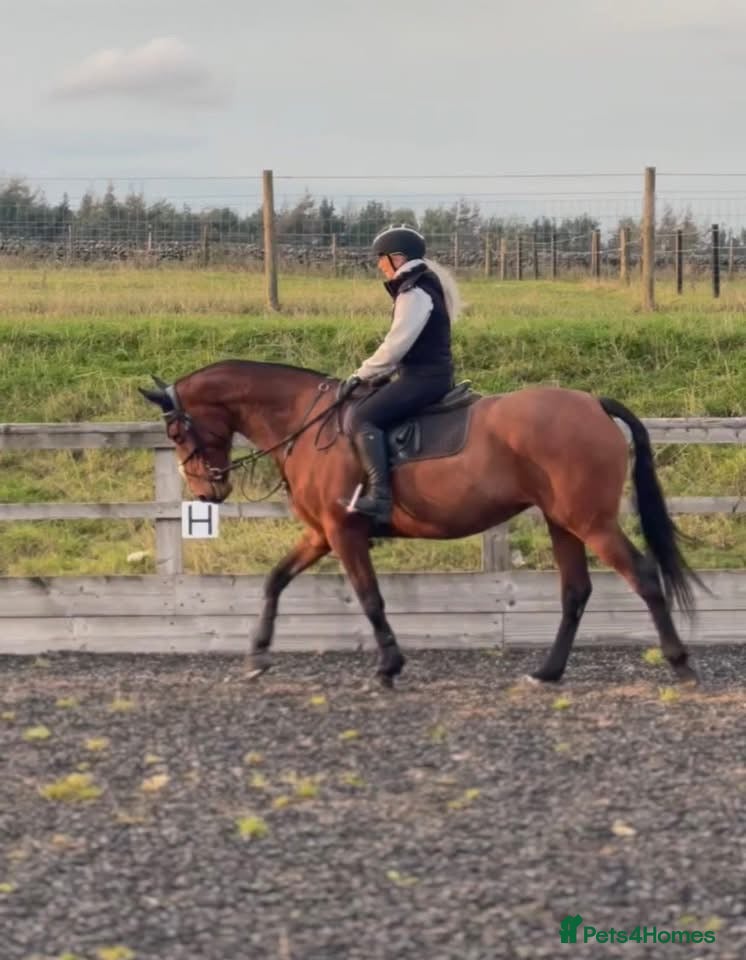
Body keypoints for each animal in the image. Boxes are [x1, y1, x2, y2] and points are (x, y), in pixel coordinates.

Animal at [140, 360, 702, 688]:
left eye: (176, 431)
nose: (207, 492)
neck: (305, 420)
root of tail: (591, 403)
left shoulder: (343, 532)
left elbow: (370, 598)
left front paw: (388, 666)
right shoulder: (321, 533)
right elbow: (275, 580)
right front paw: (257, 655)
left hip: (592, 522)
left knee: (644, 577)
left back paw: (679, 662)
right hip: (563, 522)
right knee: (575, 592)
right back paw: (547, 672)